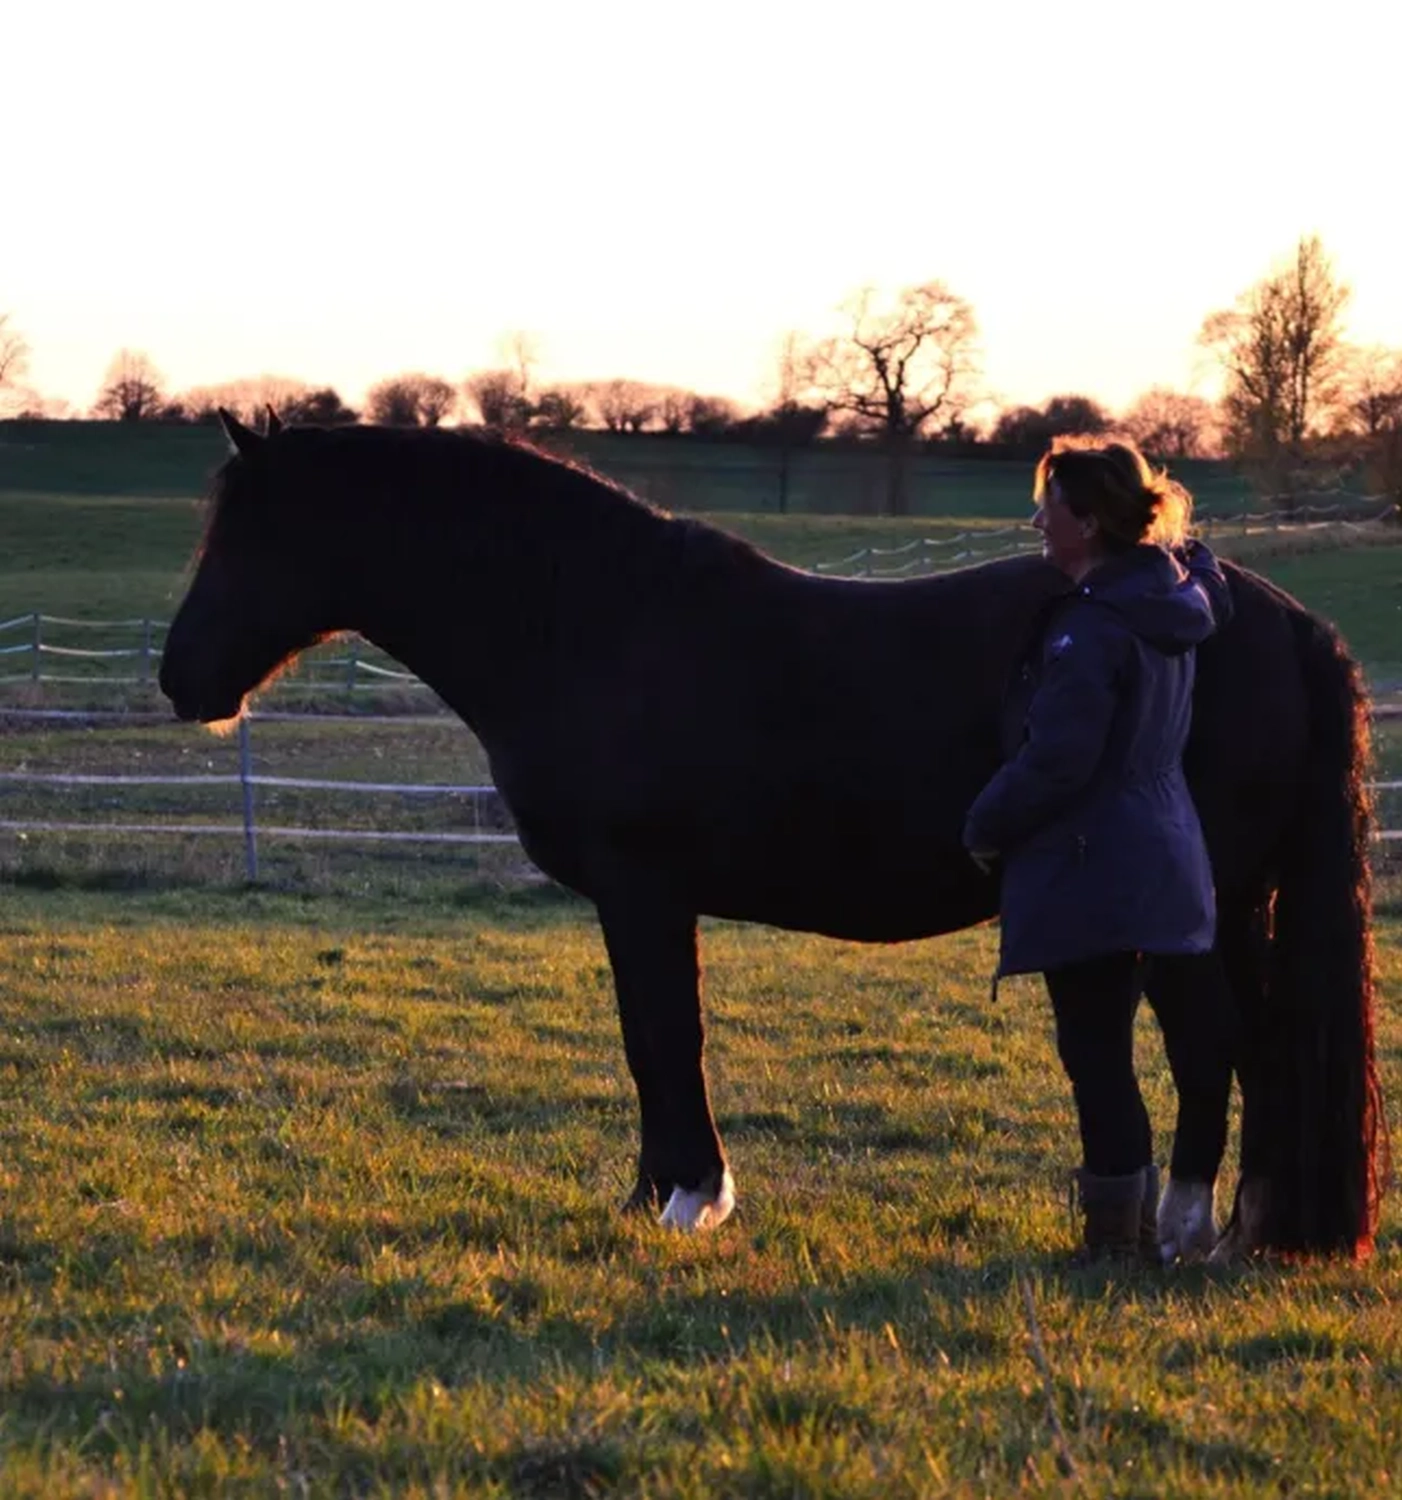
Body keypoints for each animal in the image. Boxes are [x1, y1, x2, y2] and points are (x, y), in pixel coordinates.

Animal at [158, 417, 1385, 1260]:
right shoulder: (638, 900)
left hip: (1202, 907)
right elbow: (648, 1042)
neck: (592, 627)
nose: (179, 679)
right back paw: (1250, 1226)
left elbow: (663, 1036)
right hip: (1241, 903)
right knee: (1256, 1046)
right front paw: (647, 1197)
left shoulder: (643, 889)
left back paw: (1189, 1229)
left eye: (253, 539)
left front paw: (689, 1199)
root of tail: (1279, 619)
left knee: (1215, 1045)